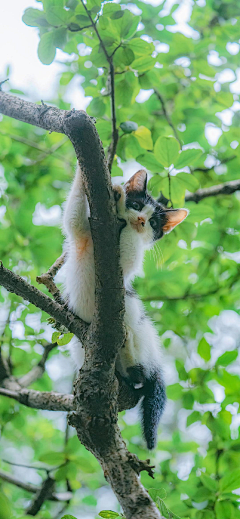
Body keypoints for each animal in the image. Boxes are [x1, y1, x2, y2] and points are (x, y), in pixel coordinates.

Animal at [62, 168, 188, 450]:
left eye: (154, 224)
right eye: (138, 206)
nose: (140, 221)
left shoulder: (126, 261)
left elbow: (129, 252)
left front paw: (121, 205)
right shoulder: (83, 232)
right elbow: (73, 215)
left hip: (139, 324)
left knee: (141, 374)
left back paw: (130, 348)